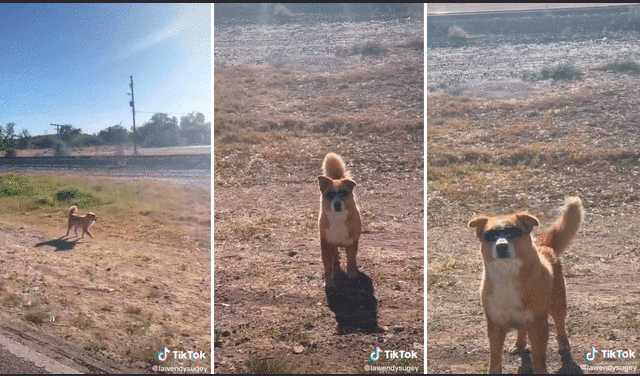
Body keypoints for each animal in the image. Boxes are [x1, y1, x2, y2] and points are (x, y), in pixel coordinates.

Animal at [318, 153, 362, 288]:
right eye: (330, 195)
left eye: (343, 193)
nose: (337, 204)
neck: (338, 218)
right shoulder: (326, 244)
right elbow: (327, 265)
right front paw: (329, 282)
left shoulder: (352, 243)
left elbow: (351, 260)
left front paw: (352, 273)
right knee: (335, 256)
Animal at [468, 197, 584, 374]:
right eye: (491, 235)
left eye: (513, 232)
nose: (501, 246)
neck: (508, 274)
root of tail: (545, 247)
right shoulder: (495, 325)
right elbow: (495, 357)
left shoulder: (538, 324)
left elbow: (539, 356)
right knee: (521, 329)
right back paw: (520, 344)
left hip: (557, 303)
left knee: (559, 323)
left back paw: (563, 344)